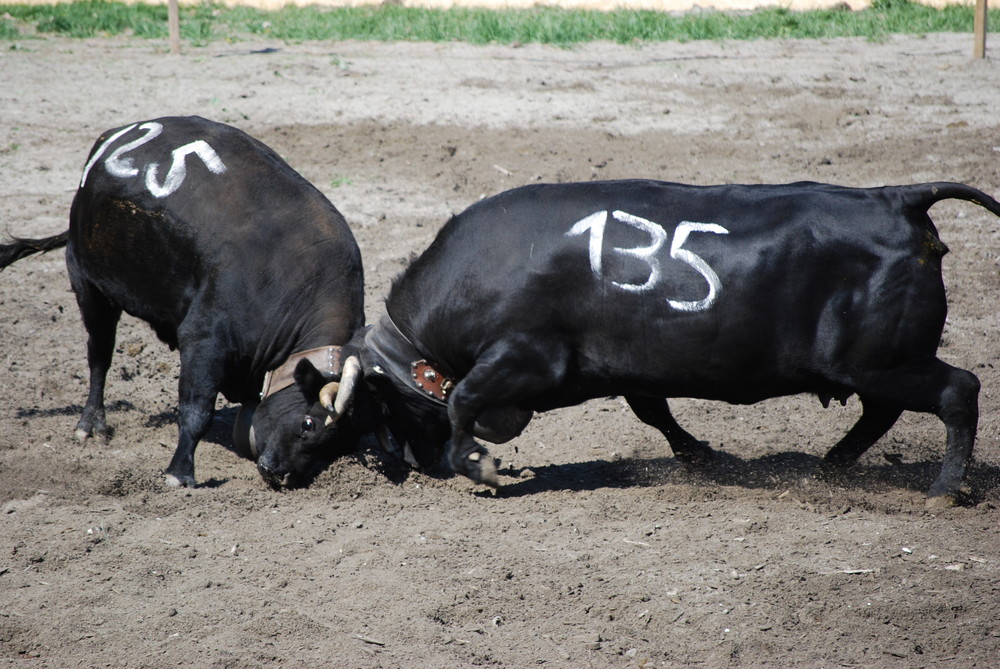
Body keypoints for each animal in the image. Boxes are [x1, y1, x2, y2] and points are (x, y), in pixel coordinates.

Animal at [0, 116, 368, 486]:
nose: (282, 475)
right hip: (88, 284)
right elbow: (197, 409)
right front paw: (180, 472)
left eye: (339, 443)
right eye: (308, 424)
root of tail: (114, 135)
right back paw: (92, 424)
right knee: (99, 357)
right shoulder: (204, 339)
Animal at [356, 177, 1000, 506]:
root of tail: (896, 196)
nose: (412, 466)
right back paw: (832, 465)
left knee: (958, 392)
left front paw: (477, 466)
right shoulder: (629, 368)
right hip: (876, 365)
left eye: (382, 403)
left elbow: (463, 399)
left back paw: (944, 488)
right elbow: (654, 411)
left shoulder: (524, 357)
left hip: (886, 361)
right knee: (884, 412)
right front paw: (700, 455)